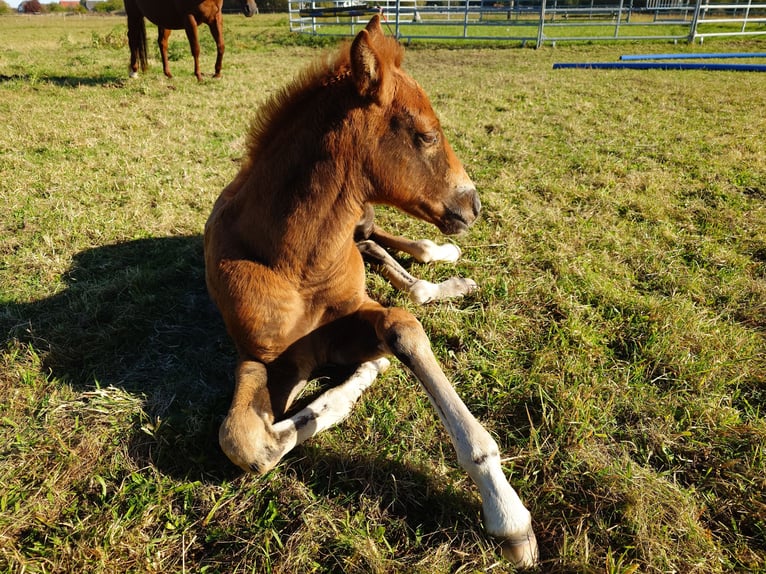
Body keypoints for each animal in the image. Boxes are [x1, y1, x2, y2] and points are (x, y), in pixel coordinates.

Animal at [125, 0, 256, 81]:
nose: (251, 9)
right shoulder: (189, 19)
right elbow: (196, 49)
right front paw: (198, 76)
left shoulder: (216, 18)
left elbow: (221, 46)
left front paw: (217, 74)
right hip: (134, 13)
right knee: (132, 38)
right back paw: (133, 72)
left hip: (164, 19)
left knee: (162, 43)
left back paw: (168, 74)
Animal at [203, 16, 538, 567]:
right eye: (426, 135)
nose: (473, 205)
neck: (294, 263)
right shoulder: (267, 355)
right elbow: (245, 442)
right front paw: (347, 389)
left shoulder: (358, 313)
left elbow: (401, 326)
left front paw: (505, 511)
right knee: (385, 261)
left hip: (363, 217)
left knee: (391, 256)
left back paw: (445, 262)